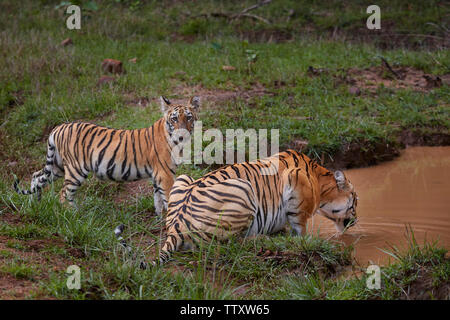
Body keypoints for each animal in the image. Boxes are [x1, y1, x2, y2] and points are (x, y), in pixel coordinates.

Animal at [14, 95, 200, 215]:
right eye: (174, 119)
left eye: (189, 118)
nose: (182, 135)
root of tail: (58, 127)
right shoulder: (165, 174)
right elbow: (170, 198)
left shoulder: (158, 175)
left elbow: (159, 200)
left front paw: (160, 219)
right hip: (75, 170)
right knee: (63, 194)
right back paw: (73, 216)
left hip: (56, 167)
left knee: (36, 177)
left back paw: (35, 207)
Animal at [155, 150, 358, 264]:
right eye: (355, 200)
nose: (356, 221)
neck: (320, 183)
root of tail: (176, 226)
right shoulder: (295, 180)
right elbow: (300, 226)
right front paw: (304, 241)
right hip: (244, 189)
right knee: (229, 243)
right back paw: (262, 238)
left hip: (183, 178)